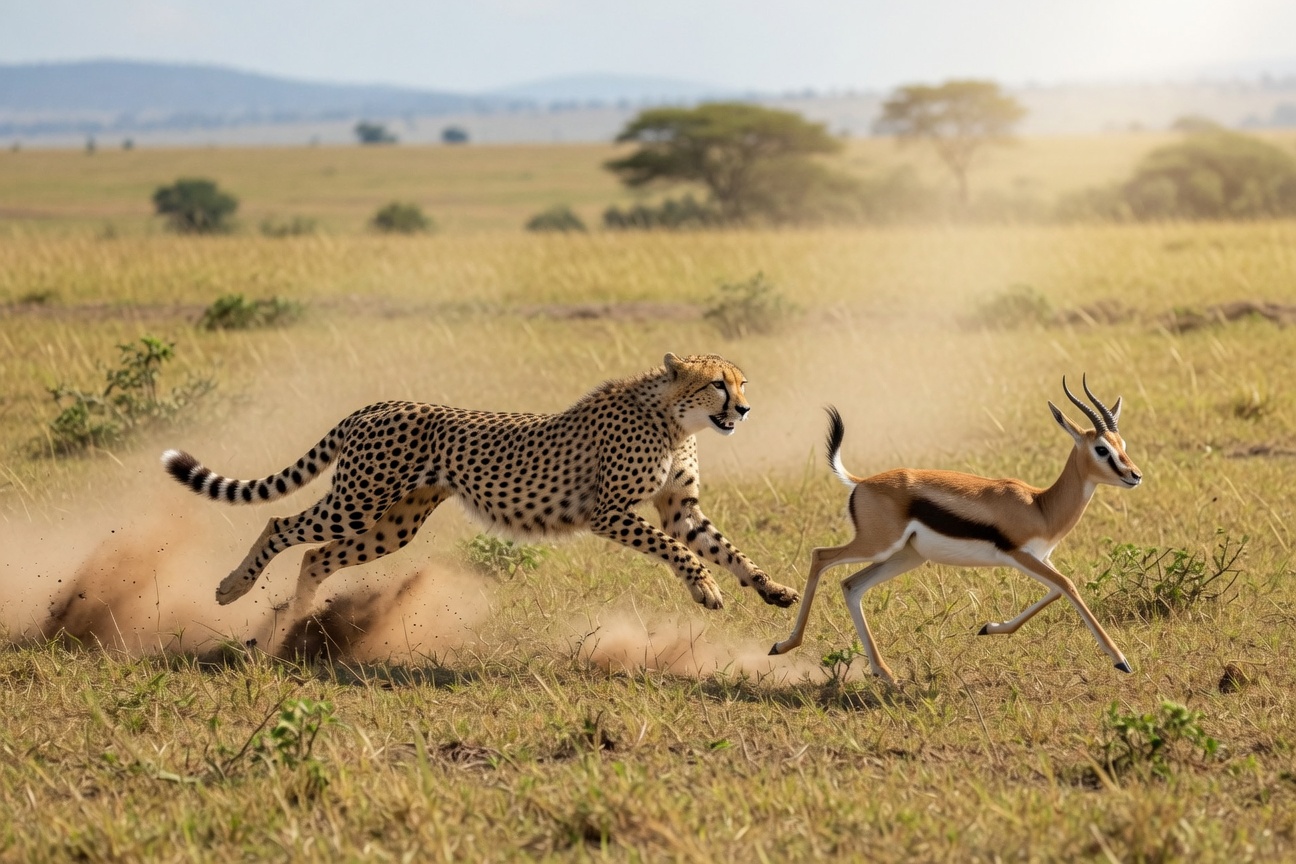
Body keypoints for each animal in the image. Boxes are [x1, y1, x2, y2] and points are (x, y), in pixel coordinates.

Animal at [161, 352, 800, 636]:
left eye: (743, 383)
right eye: (718, 384)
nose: (745, 409)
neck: (674, 419)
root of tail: (378, 404)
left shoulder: (680, 509)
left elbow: (723, 547)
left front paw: (771, 589)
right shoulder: (609, 511)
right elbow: (682, 551)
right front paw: (706, 590)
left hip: (394, 523)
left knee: (318, 555)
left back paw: (294, 625)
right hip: (359, 502)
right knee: (282, 527)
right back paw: (232, 589)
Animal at [770, 377, 1142, 683]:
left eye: (1123, 444)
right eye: (1101, 449)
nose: (1135, 475)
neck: (1040, 506)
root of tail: (860, 482)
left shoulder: (1039, 558)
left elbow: (1056, 590)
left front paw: (988, 628)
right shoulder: (1020, 556)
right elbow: (1068, 585)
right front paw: (1121, 660)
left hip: (905, 557)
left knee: (851, 586)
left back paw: (884, 673)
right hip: (877, 545)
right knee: (821, 556)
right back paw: (784, 645)